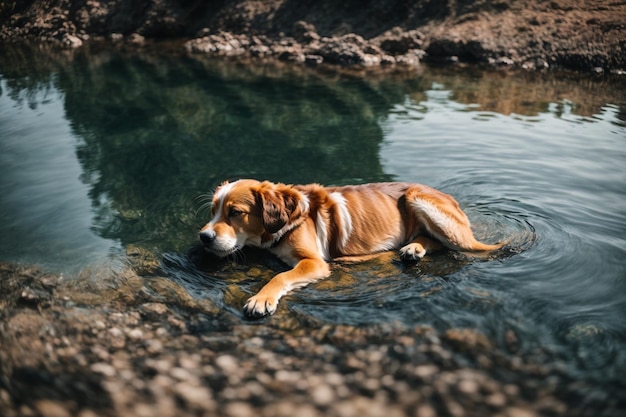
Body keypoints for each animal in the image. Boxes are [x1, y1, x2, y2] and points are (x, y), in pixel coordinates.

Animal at [200, 177, 502, 316]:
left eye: (235, 213)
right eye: (213, 211)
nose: (204, 237)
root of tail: (450, 198)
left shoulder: (313, 262)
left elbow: (280, 276)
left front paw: (262, 298)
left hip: (419, 199)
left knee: (450, 244)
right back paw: (413, 248)